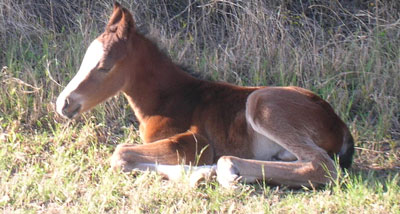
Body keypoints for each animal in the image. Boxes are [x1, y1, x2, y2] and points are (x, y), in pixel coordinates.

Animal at [55, 2, 354, 188]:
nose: (63, 103)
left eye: (105, 66)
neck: (168, 98)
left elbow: (120, 154)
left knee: (321, 166)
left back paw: (228, 169)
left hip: (261, 103)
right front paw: (201, 175)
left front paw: (201, 174)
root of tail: (339, 124)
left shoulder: (196, 141)